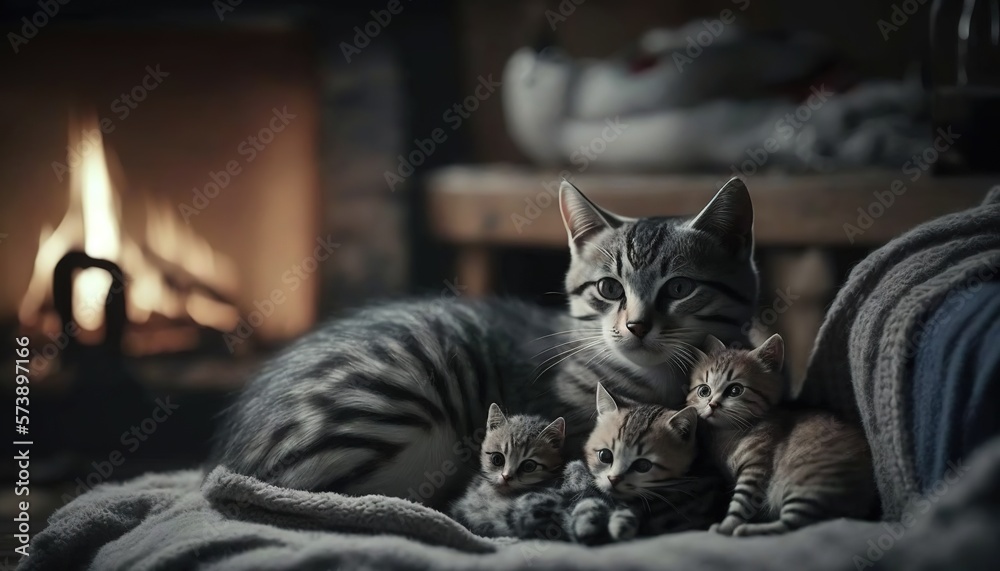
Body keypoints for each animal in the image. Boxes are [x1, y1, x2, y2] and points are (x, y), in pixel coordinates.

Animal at [688, 332, 876, 540]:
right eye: (704, 390)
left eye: (735, 390)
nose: (712, 405)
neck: (729, 434)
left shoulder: (756, 470)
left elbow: (741, 504)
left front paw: (726, 526)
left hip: (806, 484)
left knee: (790, 526)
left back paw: (748, 530)